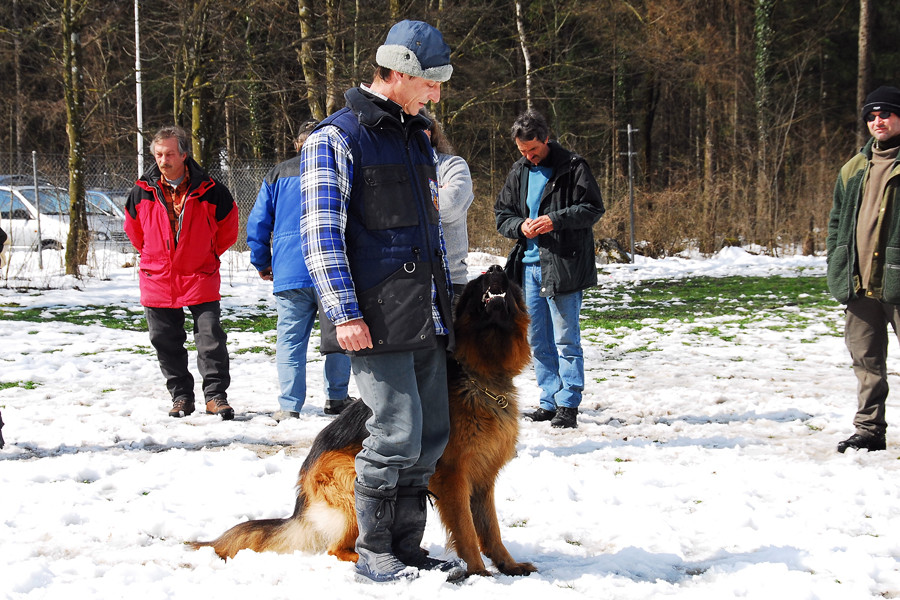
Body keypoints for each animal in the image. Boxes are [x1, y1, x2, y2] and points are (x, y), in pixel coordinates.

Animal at [191, 266, 536, 576]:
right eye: (478, 284)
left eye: (505, 280)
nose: (496, 268)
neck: (479, 375)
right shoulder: (454, 477)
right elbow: (466, 529)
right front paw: (478, 572)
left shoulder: (483, 479)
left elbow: (491, 528)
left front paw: (508, 565)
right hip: (350, 477)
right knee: (339, 547)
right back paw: (376, 560)